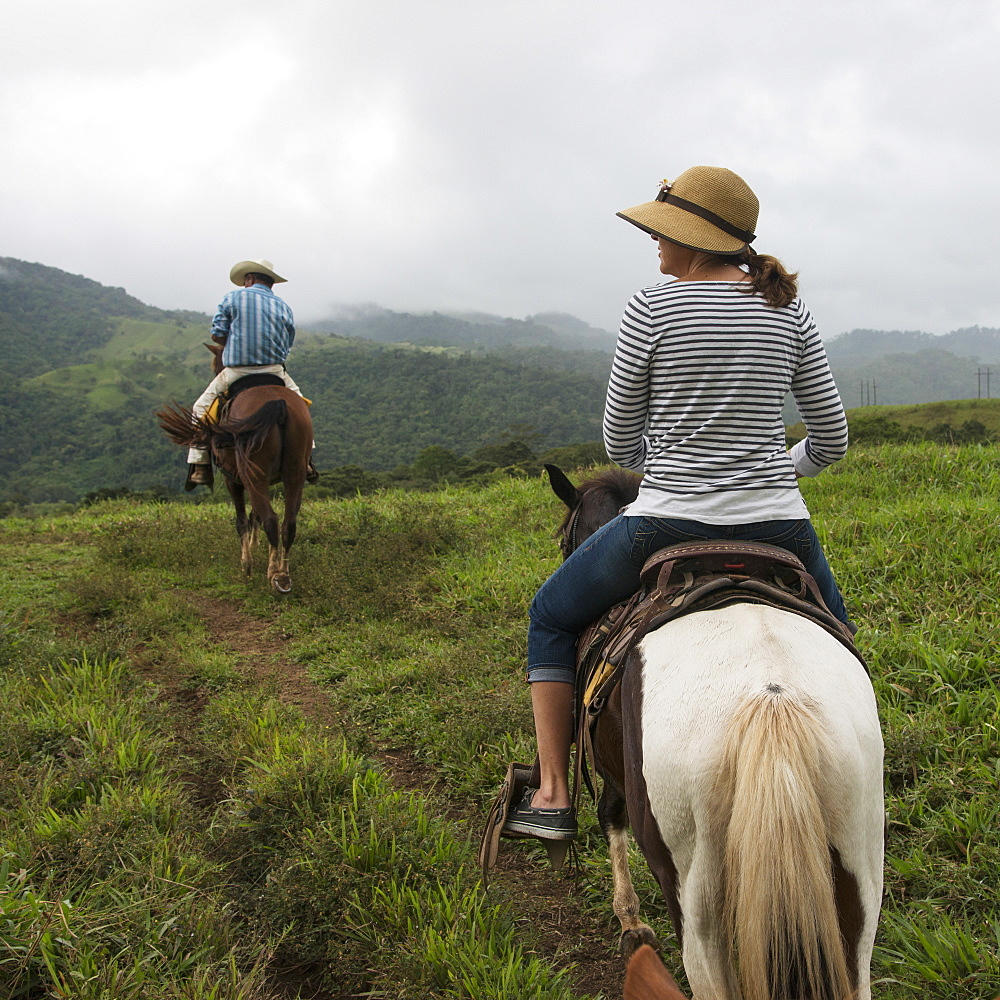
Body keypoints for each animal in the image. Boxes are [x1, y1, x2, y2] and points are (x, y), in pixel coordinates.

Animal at [158, 344, 312, 592]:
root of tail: (276, 403)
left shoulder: (233, 479)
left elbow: (242, 520)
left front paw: (246, 565)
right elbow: (254, 514)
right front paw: (257, 547)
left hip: (252, 474)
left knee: (271, 519)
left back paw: (273, 574)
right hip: (295, 473)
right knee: (288, 523)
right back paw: (284, 573)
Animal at [548, 464, 884, 1000]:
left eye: (565, 540)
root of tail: (771, 698)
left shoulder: (614, 769)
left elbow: (609, 815)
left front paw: (631, 925)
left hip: (695, 897)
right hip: (859, 873)